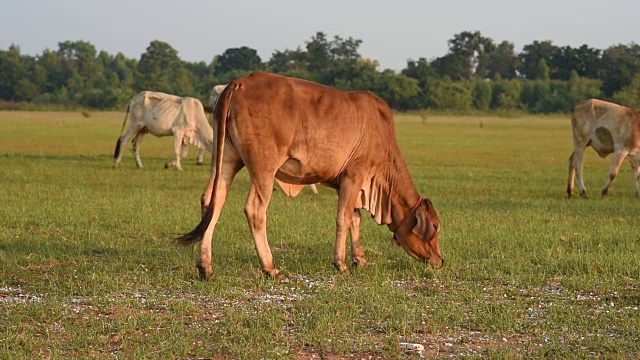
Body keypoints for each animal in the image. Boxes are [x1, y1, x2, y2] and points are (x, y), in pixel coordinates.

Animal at [178, 71, 442, 278]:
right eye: (436, 226)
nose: (440, 260)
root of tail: (240, 82)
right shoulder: (354, 176)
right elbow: (343, 218)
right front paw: (341, 263)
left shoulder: (351, 185)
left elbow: (355, 220)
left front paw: (360, 259)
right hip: (263, 167)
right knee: (254, 209)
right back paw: (269, 267)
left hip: (226, 159)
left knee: (212, 200)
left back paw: (205, 267)